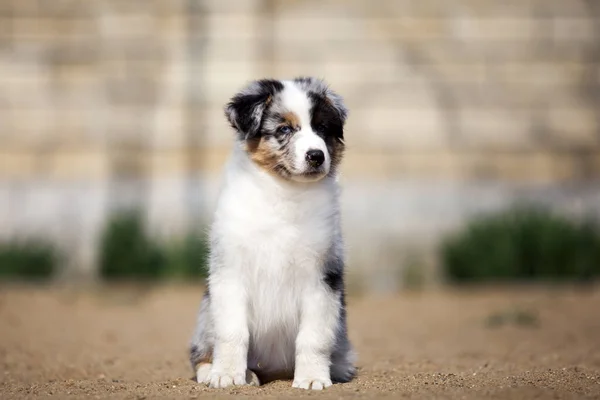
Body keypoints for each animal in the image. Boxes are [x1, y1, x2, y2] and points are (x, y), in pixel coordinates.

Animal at [190, 76, 354, 390]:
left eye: (322, 129)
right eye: (284, 129)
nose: (316, 156)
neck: (285, 192)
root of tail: (275, 370)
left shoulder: (322, 276)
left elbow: (313, 337)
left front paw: (312, 378)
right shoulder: (230, 271)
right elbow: (232, 332)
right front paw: (227, 375)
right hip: (205, 313)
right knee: (201, 351)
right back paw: (225, 373)